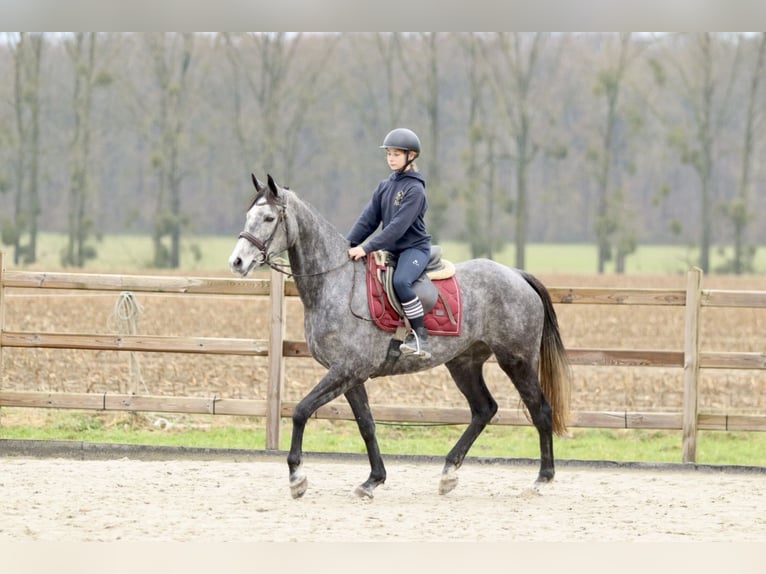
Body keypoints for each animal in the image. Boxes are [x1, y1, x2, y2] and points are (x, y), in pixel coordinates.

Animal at [228, 174, 568, 500]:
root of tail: (516, 274)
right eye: (248, 215)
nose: (237, 262)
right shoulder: (351, 375)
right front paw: (372, 481)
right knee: (484, 409)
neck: (335, 283)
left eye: (269, 218)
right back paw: (448, 473)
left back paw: (542, 479)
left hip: (516, 360)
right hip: (464, 363)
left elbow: (301, 411)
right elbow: (366, 425)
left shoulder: (347, 370)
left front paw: (297, 478)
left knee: (540, 410)